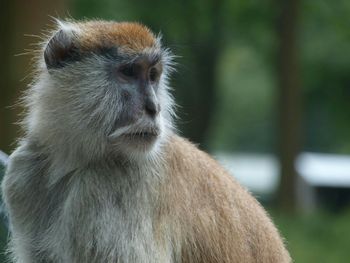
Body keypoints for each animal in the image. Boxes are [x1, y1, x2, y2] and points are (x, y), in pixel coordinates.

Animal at [0, 19, 290, 262]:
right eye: (129, 72)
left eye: (153, 75)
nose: (154, 107)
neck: (74, 160)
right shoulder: (24, 173)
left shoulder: (111, 186)